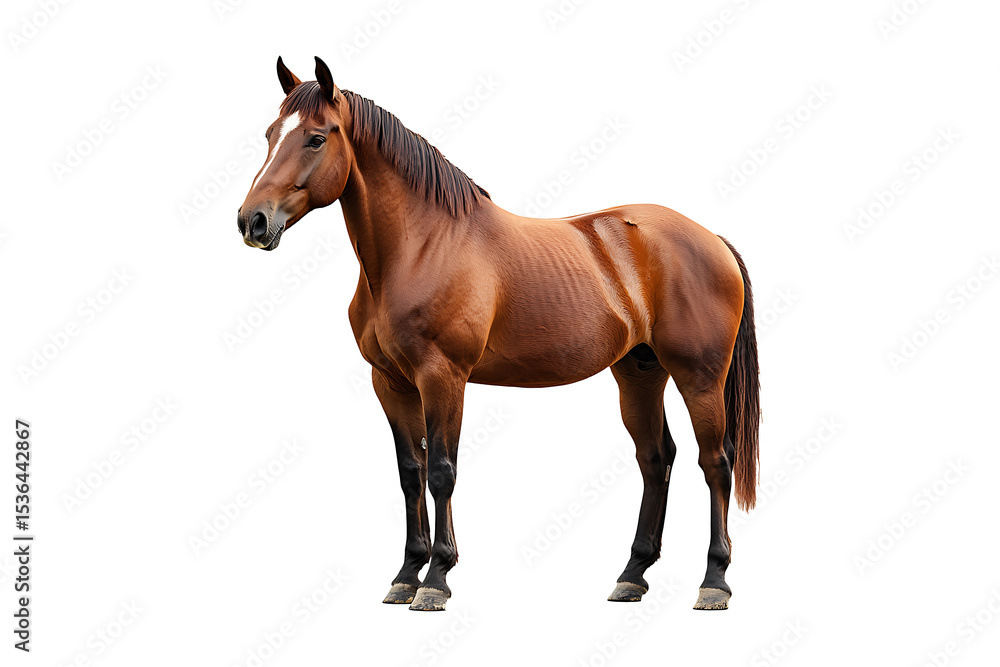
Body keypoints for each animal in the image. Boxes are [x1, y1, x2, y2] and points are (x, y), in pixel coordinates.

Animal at [238, 56, 760, 612]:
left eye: (316, 138)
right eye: (270, 134)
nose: (253, 221)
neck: (422, 245)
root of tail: (712, 239)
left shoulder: (442, 377)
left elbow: (442, 470)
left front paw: (437, 579)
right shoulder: (391, 383)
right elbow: (410, 473)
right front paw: (405, 575)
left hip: (699, 377)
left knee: (716, 462)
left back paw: (714, 581)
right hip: (639, 373)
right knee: (656, 458)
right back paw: (632, 575)